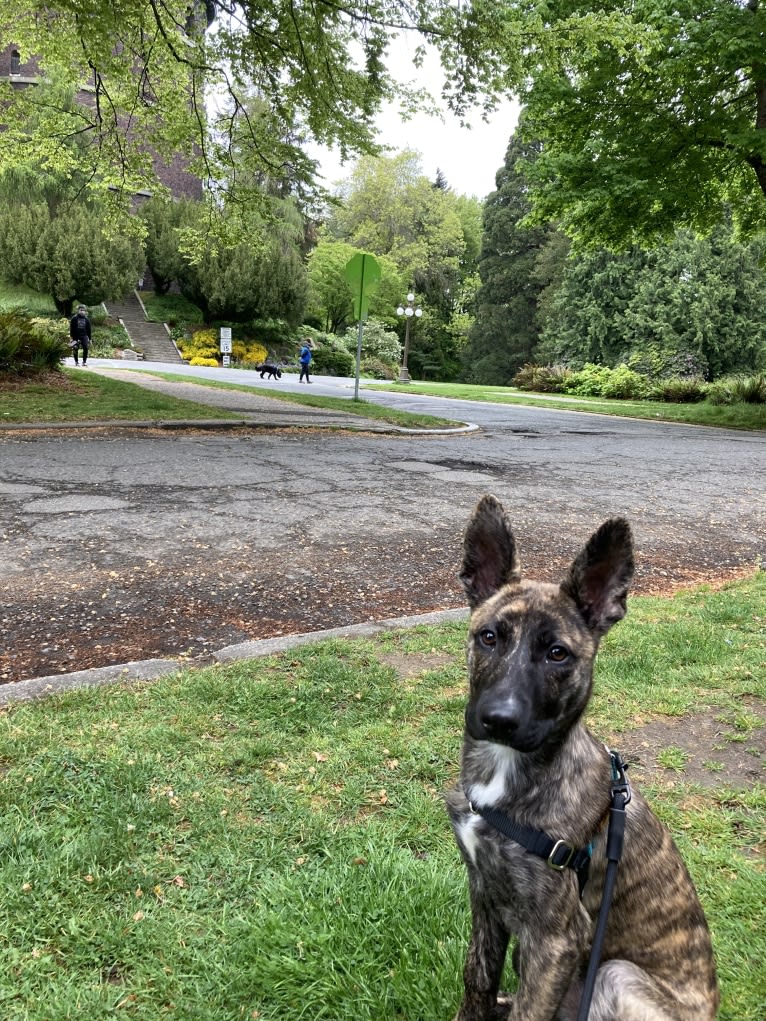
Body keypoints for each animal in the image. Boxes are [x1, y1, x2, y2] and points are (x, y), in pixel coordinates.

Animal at [447, 496, 723, 1021]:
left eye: (558, 653)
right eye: (489, 637)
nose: (498, 720)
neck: (511, 772)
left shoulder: (557, 938)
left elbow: (529, 1012)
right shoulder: (483, 895)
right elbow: (477, 978)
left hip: (613, 973)